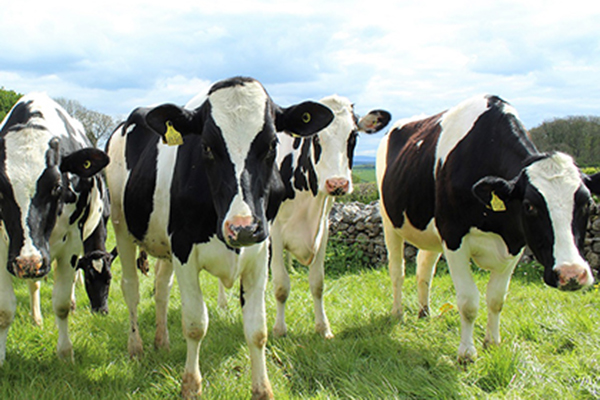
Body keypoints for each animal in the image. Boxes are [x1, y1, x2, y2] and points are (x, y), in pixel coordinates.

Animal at [0, 93, 110, 362]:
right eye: (0, 189)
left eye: (56, 187)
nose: (101, 311)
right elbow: (5, 309)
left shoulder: (72, 242)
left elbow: (60, 303)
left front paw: (65, 353)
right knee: (34, 283)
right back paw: (36, 317)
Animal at [105, 76, 336, 398]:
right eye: (206, 147)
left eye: (272, 144)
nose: (242, 227)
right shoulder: (184, 250)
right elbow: (195, 323)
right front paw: (191, 385)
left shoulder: (260, 251)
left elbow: (257, 329)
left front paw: (262, 389)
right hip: (121, 226)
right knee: (131, 289)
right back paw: (136, 347)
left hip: (163, 244)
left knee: (162, 290)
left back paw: (161, 341)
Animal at [270, 95, 392, 340]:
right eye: (316, 137)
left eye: (353, 135)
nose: (338, 183)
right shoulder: (275, 230)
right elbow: (281, 286)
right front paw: (279, 330)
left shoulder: (323, 228)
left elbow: (318, 282)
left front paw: (323, 327)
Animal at [378, 95, 596, 364]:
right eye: (529, 206)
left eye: (588, 203)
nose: (572, 274)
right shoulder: (454, 237)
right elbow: (469, 301)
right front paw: (466, 354)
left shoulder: (515, 243)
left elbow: (496, 298)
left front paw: (492, 343)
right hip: (390, 221)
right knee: (397, 271)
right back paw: (398, 313)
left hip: (431, 231)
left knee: (424, 269)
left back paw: (424, 312)